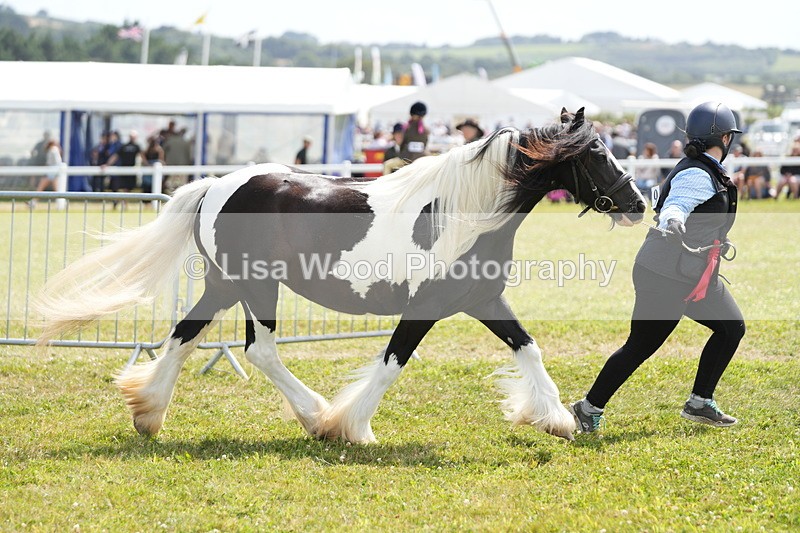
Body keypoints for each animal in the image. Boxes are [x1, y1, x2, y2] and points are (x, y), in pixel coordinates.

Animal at [36, 108, 646, 443]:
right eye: (595, 152)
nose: (638, 203)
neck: (461, 213)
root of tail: (215, 185)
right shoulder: (425, 308)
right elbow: (391, 363)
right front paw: (351, 427)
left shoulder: (483, 300)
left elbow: (529, 347)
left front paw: (555, 420)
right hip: (256, 286)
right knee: (260, 350)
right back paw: (313, 417)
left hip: (226, 285)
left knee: (186, 336)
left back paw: (148, 414)